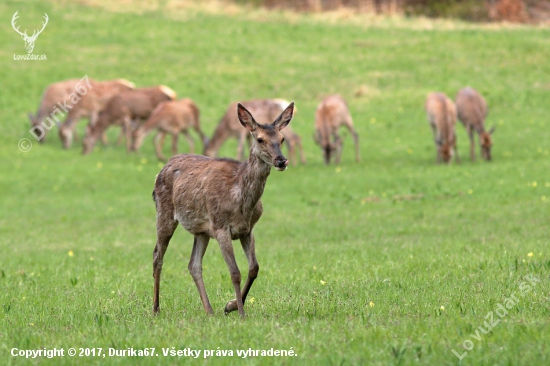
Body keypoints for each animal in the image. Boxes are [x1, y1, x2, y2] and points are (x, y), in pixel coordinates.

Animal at [152, 101, 298, 318]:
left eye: (282, 138)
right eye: (260, 139)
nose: (281, 161)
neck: (241, 201)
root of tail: (162, 169)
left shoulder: (247, 229)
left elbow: (254, 268)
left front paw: (230, 306)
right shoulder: (221, 227)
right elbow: (235, 272)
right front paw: (241, 313)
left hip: (202, 230)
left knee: (194, 265)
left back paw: (209, 311)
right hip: (164, 212)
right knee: (157, 256)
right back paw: (155, 308)